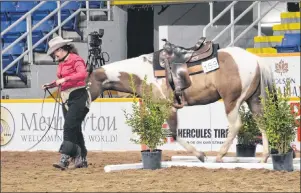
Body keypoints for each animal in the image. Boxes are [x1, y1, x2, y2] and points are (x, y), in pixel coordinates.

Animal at [85, 37, 274, 163]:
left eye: (86, 84)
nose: (85, 104)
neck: (142, 73)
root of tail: (255, 58)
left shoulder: (169, 107)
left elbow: (174, 133)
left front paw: (201, 155)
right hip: (254, 100)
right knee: (263, 123)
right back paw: (264, 157)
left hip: (232, 101)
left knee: (235, 125)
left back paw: (220, 155)